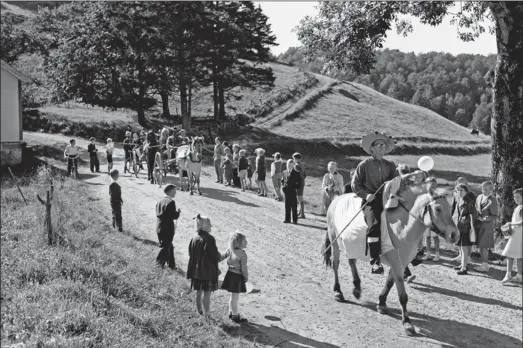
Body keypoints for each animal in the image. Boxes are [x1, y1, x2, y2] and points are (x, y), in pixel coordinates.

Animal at [324, 184, 458, 336]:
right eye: (438, 209)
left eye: (450, 208)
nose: (454, 235)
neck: (402, 228)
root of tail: (336, 199)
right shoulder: (396, 262)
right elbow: (402, 295)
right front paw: (407, 323)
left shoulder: (401, 263)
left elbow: (389, 282)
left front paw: (381, 303)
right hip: (334, 241)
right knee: (335, 264)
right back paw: (338, 291)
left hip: (350, 244)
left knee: (352, 262)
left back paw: (357, 288)